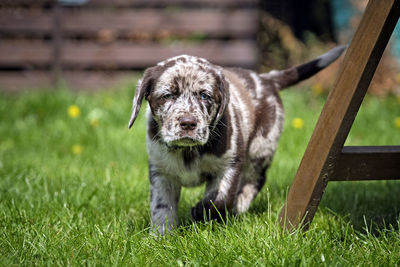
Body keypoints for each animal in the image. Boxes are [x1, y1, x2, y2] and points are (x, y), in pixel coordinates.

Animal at [128, 46, 344, 237]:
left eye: (204, 95)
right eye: (168, 95)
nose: (188, 123)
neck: (188, 151)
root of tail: (266, 79)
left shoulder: (230, 164)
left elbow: (220, 198)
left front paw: (200, 212)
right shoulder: (161, 172)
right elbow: (162, 207)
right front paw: (162, 236)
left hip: (260, 148)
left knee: (255, 181)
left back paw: (237, 207)